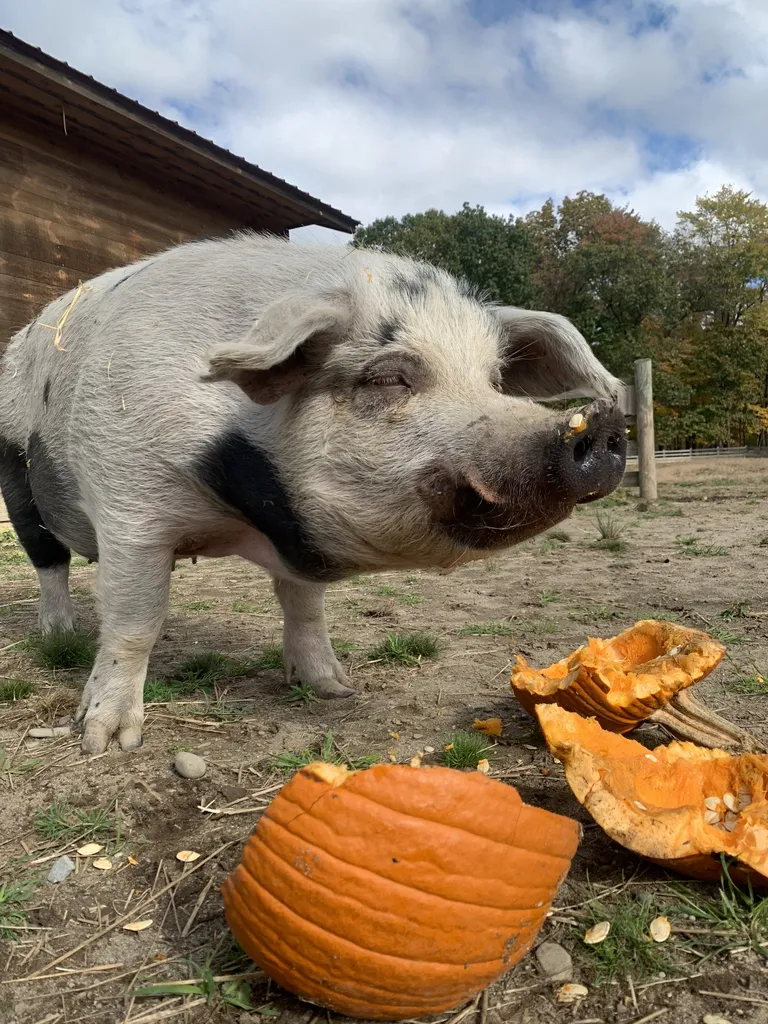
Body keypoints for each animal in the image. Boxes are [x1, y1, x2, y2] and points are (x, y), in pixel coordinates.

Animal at [0, 234, 626, 754]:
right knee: (47, 560)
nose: (600, 424)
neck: (243, 509)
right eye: (387, 378)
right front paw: (106, 742)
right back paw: (59, 635)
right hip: (15, 475)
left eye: (494, 381)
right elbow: (136, 620)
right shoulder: (131, 507)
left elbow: (304, 607)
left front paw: (334, 688)